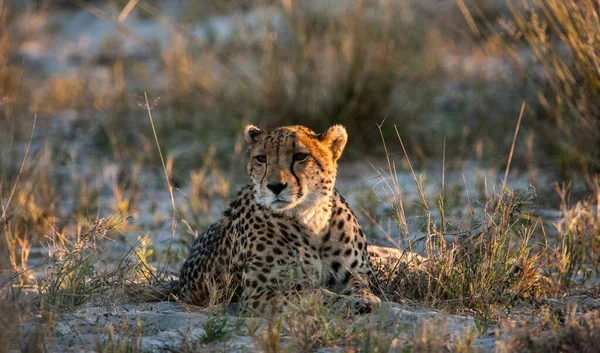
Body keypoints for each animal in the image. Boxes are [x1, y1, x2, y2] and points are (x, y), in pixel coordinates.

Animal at [180, 124, 420, 314]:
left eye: (299, 156)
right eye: (261, 159)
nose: (275, 186)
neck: (311, 217)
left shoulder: (355, 273)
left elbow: (359, 285)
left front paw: (362, 297)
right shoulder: (259, 292)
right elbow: (311, 294)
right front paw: (348, 303)